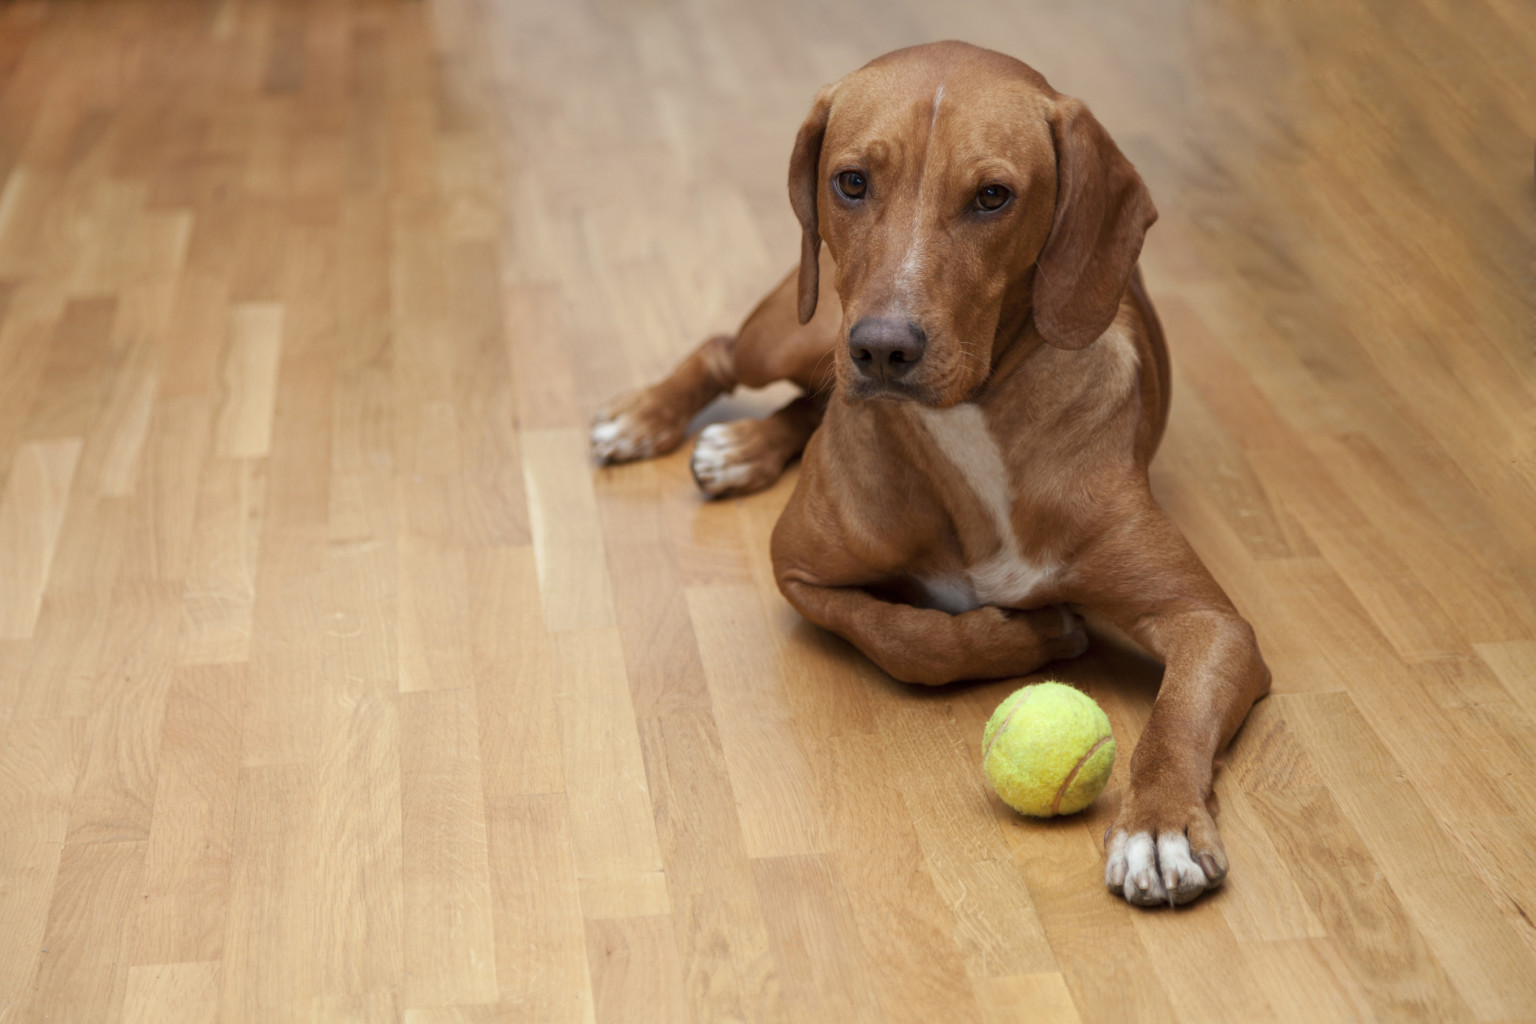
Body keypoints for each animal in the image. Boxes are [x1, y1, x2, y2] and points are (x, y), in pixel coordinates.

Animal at [586, 40, 1271, 908]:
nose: (881, 348)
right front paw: (1023, 636)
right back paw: (648, 419)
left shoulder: (1210, 623)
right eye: (851, 182)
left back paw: (743, 446)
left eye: (992, 196)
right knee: (725, 350)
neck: (969, 426)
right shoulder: (796, 567)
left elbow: (1176, 716)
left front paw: (1159, 826)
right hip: (798, 329)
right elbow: (902, 637)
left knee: (805, 402)